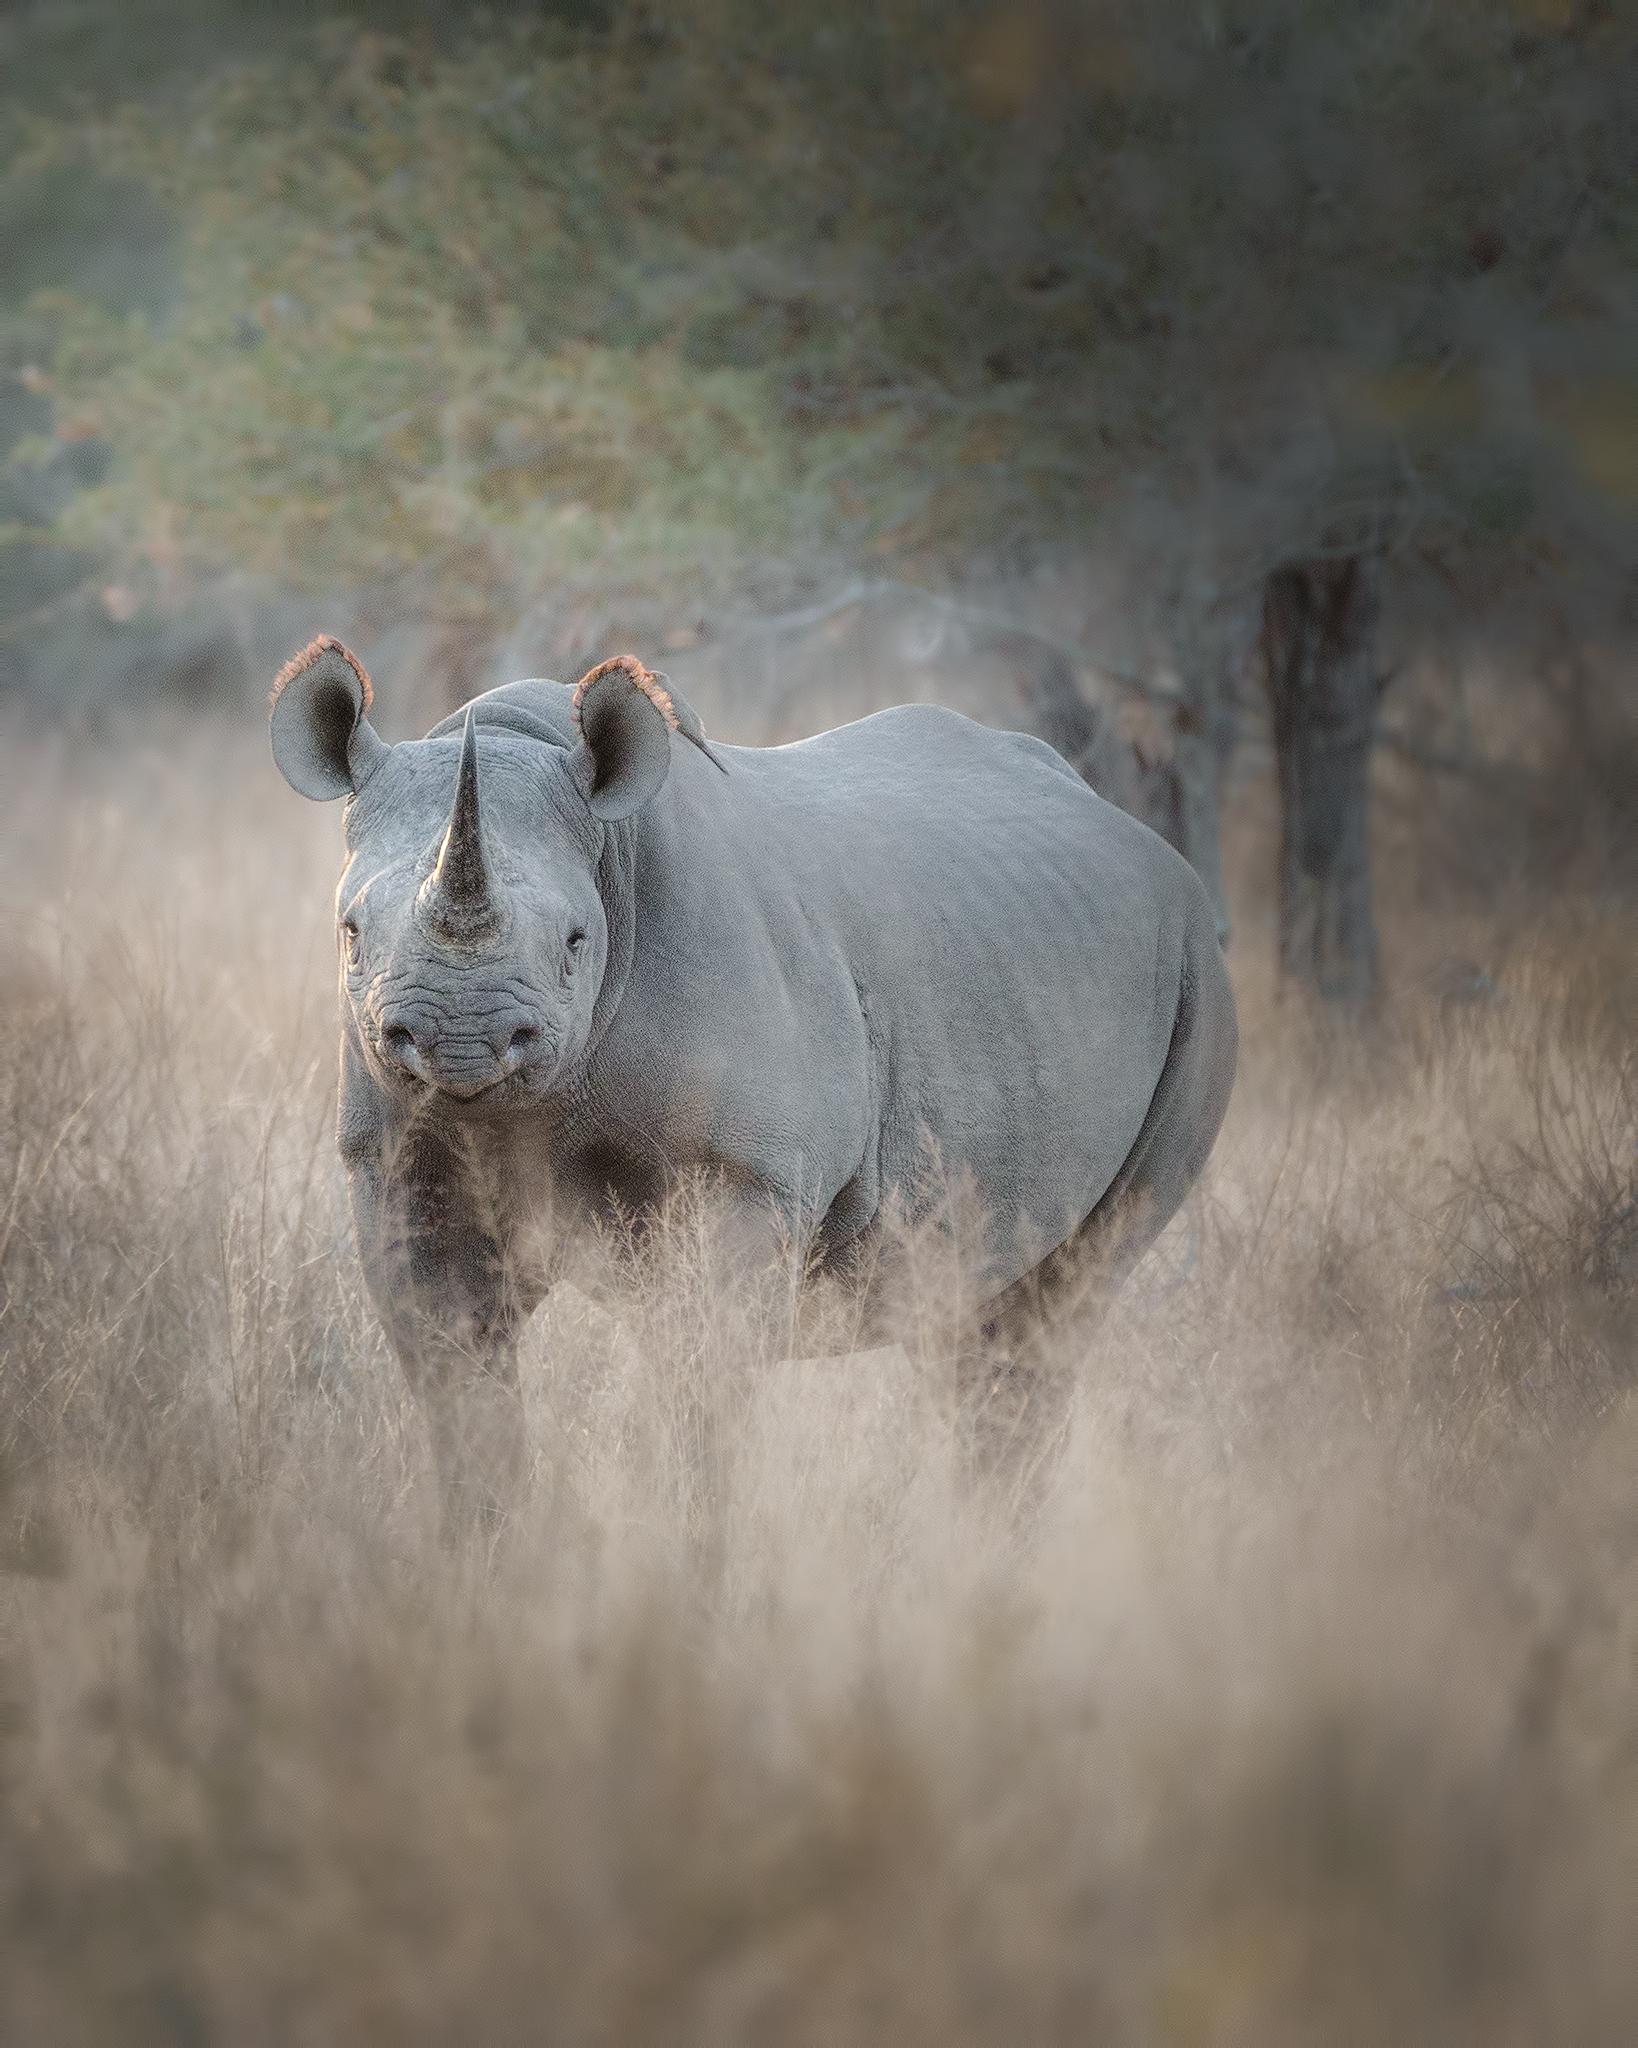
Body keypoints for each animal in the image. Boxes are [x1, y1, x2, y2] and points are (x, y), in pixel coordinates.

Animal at [271, 634, 1237, 1519]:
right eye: (350, 932)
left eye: (576, 942)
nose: (458, 1041)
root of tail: (1140, 838)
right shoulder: (401, 1159)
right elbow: (459, 1375)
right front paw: (489, 1558)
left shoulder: (744, 1174)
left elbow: (702, 1386)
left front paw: (690, 1563)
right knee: (966, 1310)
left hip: (1197, 971)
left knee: (1062, 1303)